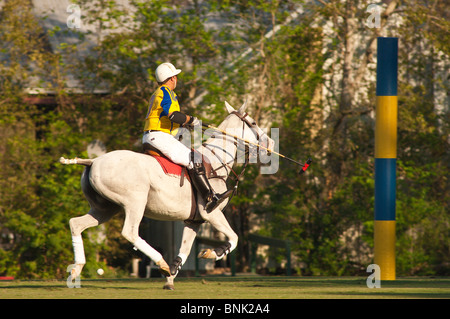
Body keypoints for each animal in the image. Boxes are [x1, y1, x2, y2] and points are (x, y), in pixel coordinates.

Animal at [60, 101, 274, 292]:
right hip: (135, 202)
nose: (271, 143)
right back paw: (160, 261)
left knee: (75, 223)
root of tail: (93, 160)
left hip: (104, 209)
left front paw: (170, 279)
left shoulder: (194, 221)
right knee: (130, 232)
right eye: (254, 122)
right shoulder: (211, 213)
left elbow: (185, 251)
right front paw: (212, 253)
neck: (216, 161)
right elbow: (234, 238)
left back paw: (76, 270)